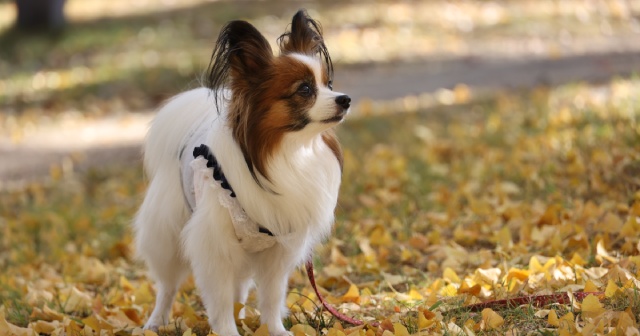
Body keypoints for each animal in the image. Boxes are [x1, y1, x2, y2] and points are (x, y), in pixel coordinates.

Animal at [131, 9, 350, 334]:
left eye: (330, 84)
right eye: (305, 89)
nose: (345, 99)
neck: (290, 153)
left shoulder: (276, 251)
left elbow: (271, 298)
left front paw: (274, 330)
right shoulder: (214, 246)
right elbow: (220, 303)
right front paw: (228, 330)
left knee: (241, 289)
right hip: (167, 237)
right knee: (167, 286)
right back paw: (155, 322)